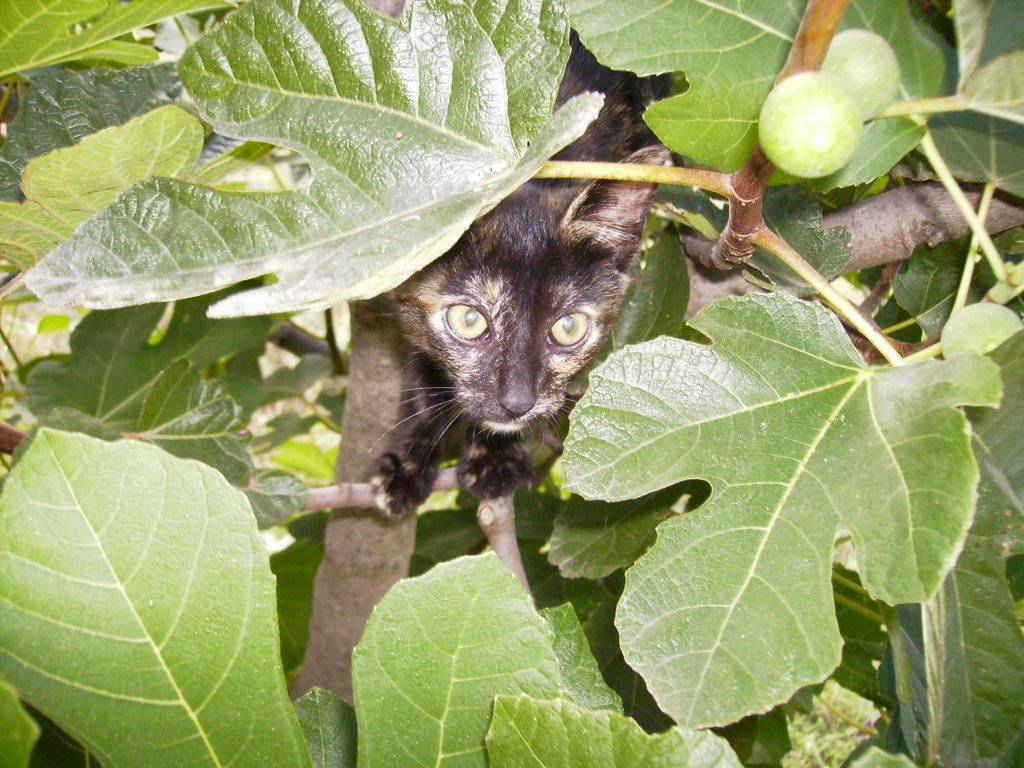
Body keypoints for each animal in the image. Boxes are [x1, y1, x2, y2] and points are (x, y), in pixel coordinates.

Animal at [372, 36, 667, 518]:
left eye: (568, 327)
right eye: (469, 320)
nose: (516, 402)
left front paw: (493, 457)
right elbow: (422, 378)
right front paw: (410, 464)